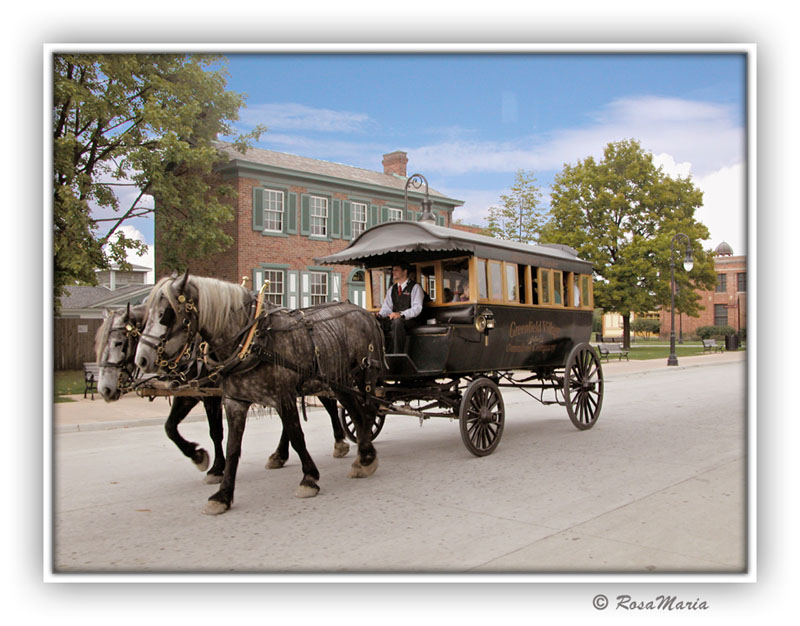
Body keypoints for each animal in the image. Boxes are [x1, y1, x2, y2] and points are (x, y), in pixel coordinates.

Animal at [134, 272, 384, 512]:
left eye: (166, 313)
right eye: (147, 316)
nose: (142, 359)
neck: (252, 341)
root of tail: (364, 313)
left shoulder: (283, 396)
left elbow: (297, 436)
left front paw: (309, 478)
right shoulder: (234, 401)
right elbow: (232, 447)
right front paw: (223, 495)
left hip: (362, 377)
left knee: (368, 411)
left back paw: (364, 456)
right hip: (339, 382)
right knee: (358, 415)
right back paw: (364, 456)